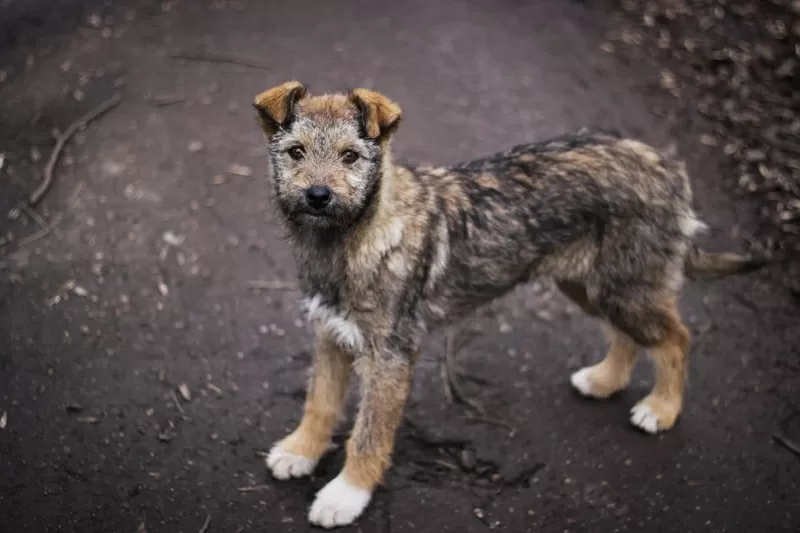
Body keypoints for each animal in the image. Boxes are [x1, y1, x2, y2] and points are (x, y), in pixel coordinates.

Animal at [252, 81, 768, 524]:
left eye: (350, 156)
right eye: (296, 152)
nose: (318, 196)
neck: (352, 240)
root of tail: (666, 165)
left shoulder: (390, 359)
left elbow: (368, 435)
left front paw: (346, 495)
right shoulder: (331, 334)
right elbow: (319, 402)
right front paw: (301, 451)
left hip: (626, 290)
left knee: (677, 338)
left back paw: (661, 408)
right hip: (594, 287)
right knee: (630, 336)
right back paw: (605, 380)